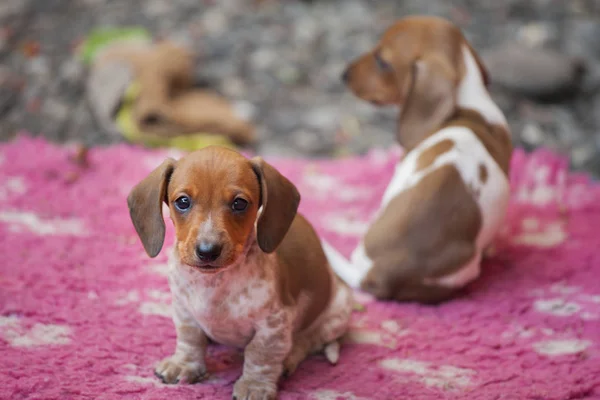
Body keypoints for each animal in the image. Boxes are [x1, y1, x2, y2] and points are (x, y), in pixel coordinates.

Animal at [126, 145, 352, 398]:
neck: (213, 283)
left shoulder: (273, 323)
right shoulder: (184, 310)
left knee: (308, 341)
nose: (207, 251)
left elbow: (260, 354)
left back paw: (290, 358)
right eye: (182, 201)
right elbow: (189, 338)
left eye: (239, 203)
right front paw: (184, 364)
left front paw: (255, 385)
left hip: (337, 314)